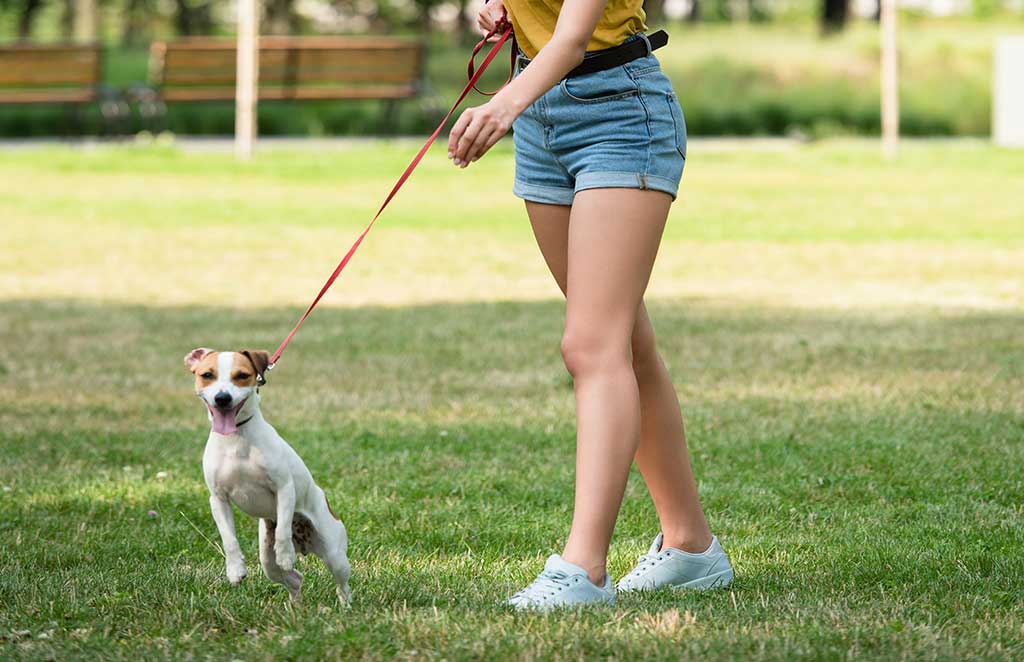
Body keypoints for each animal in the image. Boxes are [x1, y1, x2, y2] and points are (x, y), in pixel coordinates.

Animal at [186, 348, 354, 606]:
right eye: (207, 375)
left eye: (241, 375)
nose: (222, 398)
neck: (236, 438)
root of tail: (303, 542)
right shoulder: (218, 499)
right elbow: (228, 538)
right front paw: (235, 570)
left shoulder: (284, 488)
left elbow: (283, 529)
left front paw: (285, 554)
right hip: (267, 561)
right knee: (294, 579)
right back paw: (295, 607)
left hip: (335, 554)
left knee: (341, 583)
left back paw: (345, 605)